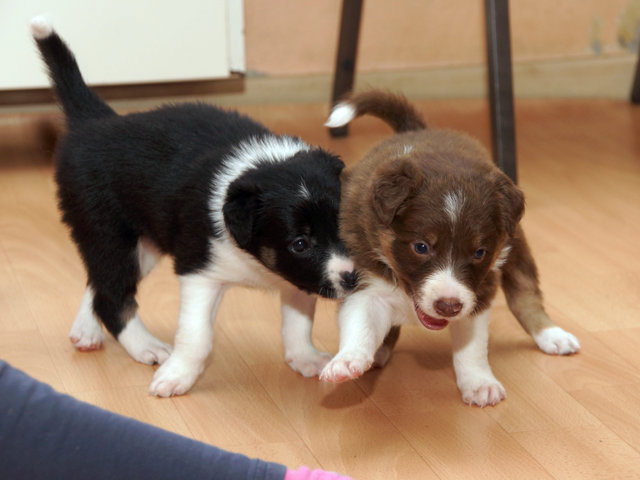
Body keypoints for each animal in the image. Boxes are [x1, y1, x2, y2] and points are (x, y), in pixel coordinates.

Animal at [31, 17, 358, 397]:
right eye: (300, 243)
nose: (353, 278)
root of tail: (97, 121)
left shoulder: (298, 276)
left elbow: (298, 322)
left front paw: (304, 358)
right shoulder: (198, 271)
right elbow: (196, 336)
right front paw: (176, 377)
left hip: (143, 244)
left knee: (98, 281)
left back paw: (86, 330)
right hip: (106, 231)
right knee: (111, 295)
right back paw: (145, 347)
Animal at [320, 90, 580, 407]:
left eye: (479, 253)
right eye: (421, 247)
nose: (448, 306)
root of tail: (419, 129)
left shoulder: (480, 291)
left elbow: (471, 347)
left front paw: (480, 384)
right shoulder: (364, 281)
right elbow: (360, 325)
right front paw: (346, 362)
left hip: (516, 247)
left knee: (525, 295)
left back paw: (553, 335)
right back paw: (380, 350)